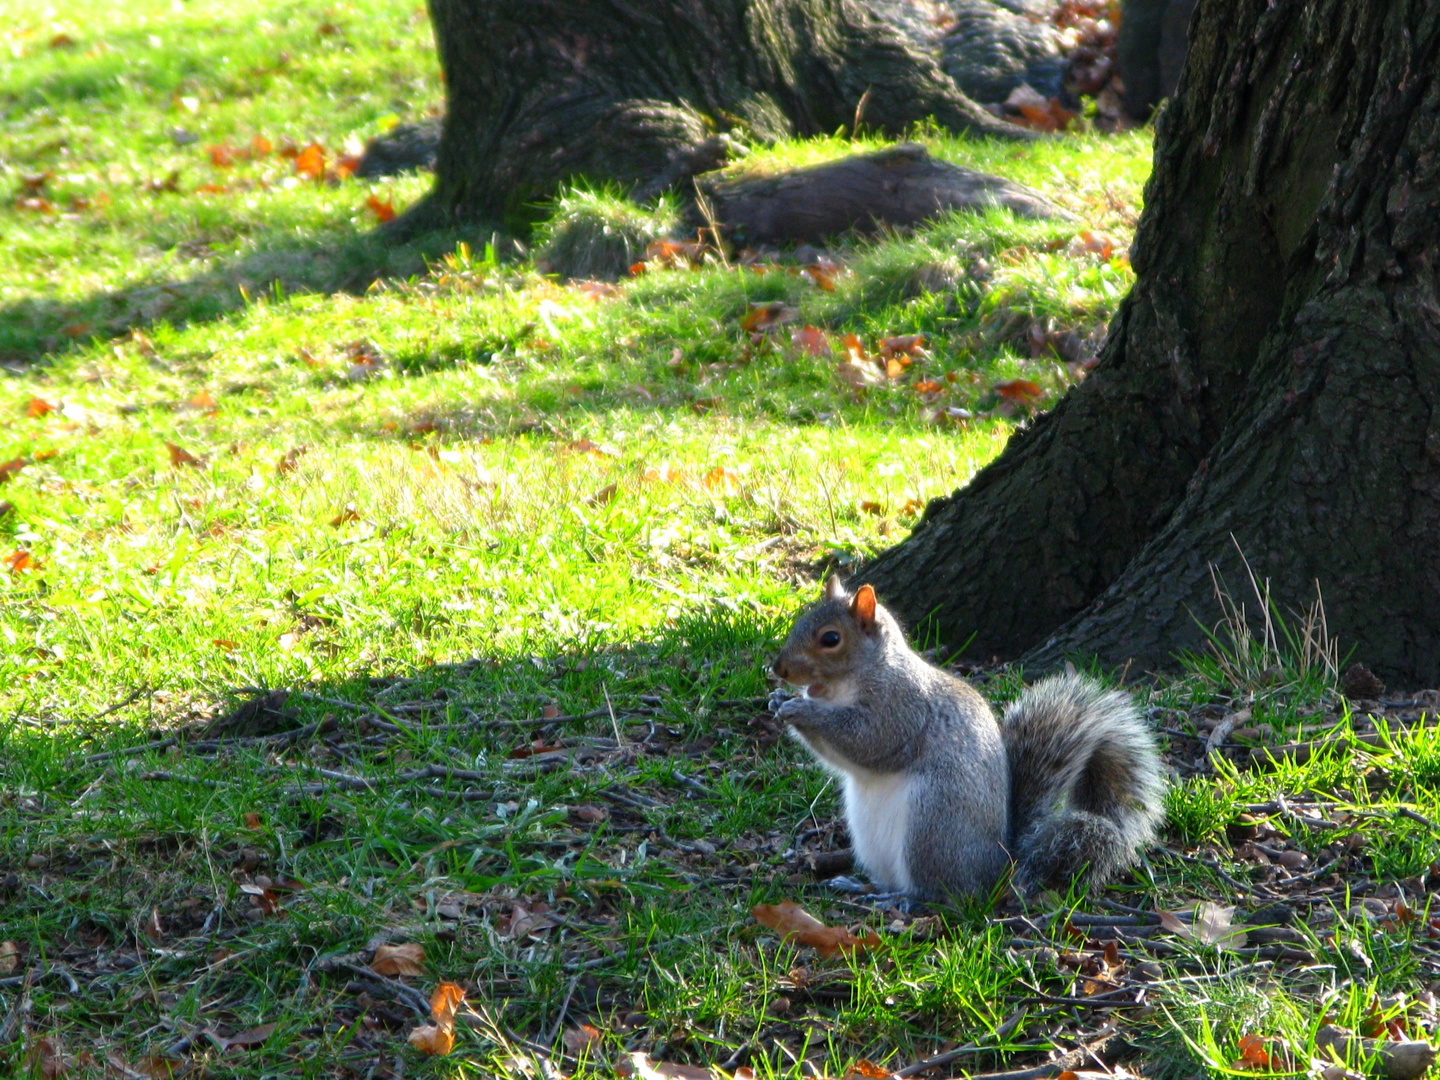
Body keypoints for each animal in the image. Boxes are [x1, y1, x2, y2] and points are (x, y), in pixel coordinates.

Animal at [771, 578, 1163, 898]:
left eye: (831, 639)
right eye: (800, 621)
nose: (778, 669)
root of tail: (1002, 866)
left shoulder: (902, 708)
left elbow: (869, 741)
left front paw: (803, 710)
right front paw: (779, 700)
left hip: (933, 825)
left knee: (944, 893)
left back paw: (901, 899)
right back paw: (862, 885)